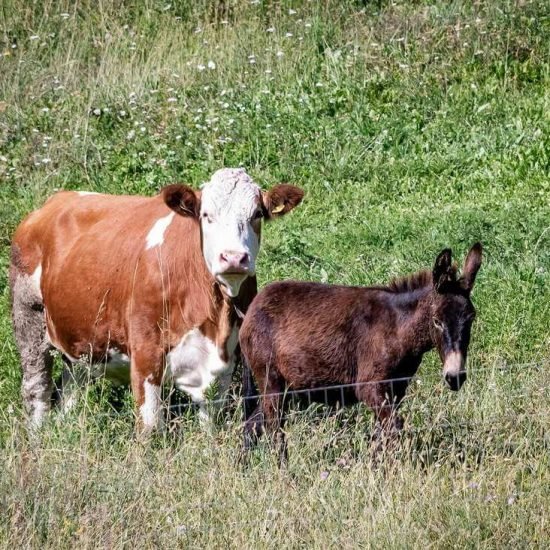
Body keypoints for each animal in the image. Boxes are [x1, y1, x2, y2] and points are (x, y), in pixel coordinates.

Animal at [8, 168, 304, 432]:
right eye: (206, 215)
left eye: (257, 214)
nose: (233, 257)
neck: (214, 316)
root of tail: (53, 202)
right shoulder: (145, 353)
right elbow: (150, 427)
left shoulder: (224, 364)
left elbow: (211, 425)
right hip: (28, 319)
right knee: (37, 389)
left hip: (81, 340)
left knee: (71, 389)